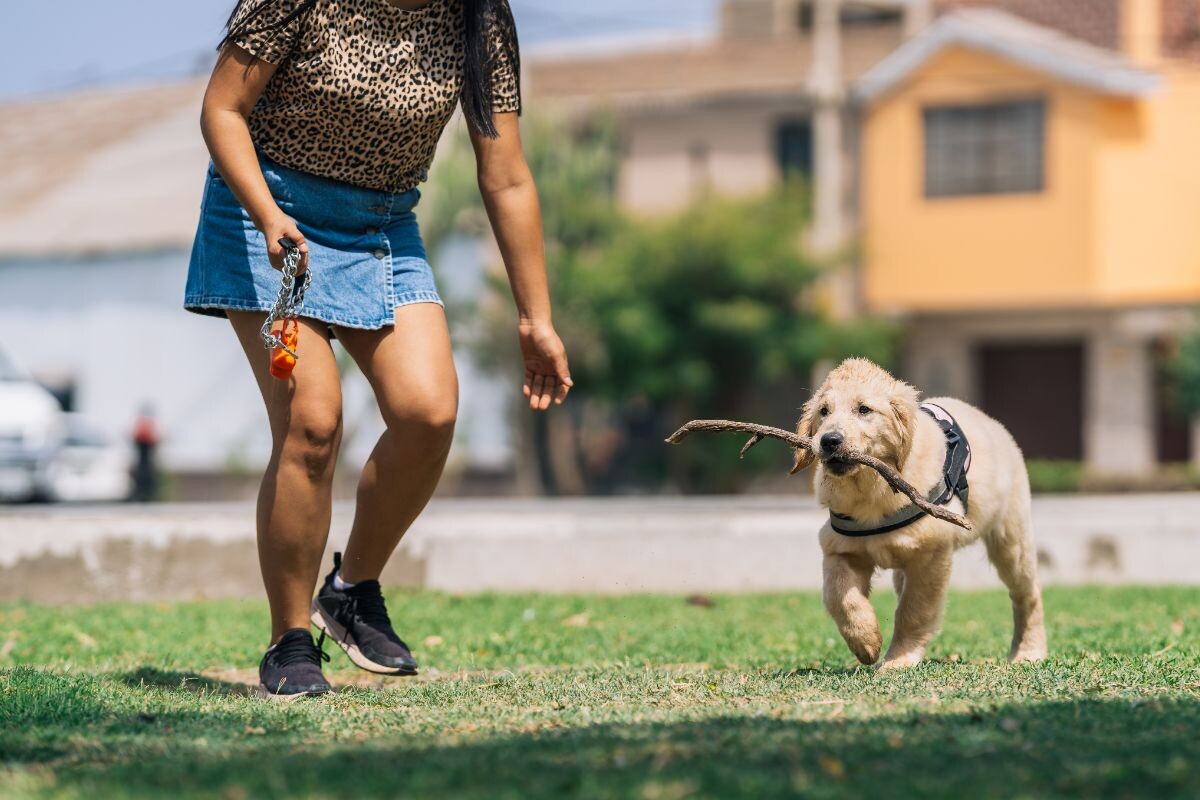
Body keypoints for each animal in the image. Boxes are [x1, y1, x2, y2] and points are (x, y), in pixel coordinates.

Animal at [801, 357, 1046, 671]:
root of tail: (995, 424)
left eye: (864, 409)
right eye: (823, 411)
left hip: (1011, 541)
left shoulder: (931, 554)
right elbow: (840, 597)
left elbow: (913, 611)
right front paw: (866, 642)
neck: (872, 488)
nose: (829, 441)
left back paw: (1029, 651)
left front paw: (898, 660)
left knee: (1027, 594)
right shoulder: (840, 548)